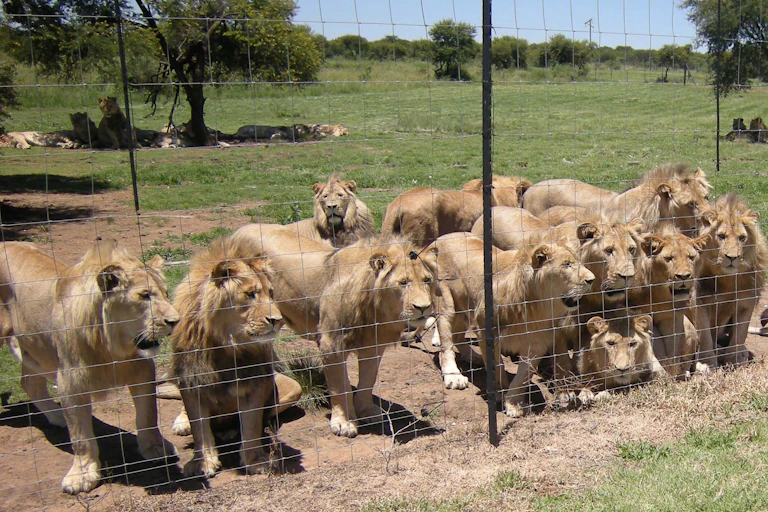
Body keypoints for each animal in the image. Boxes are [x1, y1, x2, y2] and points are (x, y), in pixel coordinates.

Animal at [0, 240, 179, 494]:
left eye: (165, 293)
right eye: (145, 296)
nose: (175, 321)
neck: (111, 347)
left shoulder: (142, 370)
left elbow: (147, 416)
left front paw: (155, 449)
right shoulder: (70, 382)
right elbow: (81, 436)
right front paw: (82, 475)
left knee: (29, 382)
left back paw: (57, 416)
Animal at [168, 238, 301, 478]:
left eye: (271, 293)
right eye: (250, 294)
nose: (278, 320)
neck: (227, 345)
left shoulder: (255, 380)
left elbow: (251, 424)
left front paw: (255, 461)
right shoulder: (191, 378)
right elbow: (199, 426)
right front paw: (202, 463)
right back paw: (183, 423)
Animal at [231, 224, 439, 437]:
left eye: (427, 280)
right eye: (403, 282)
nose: (424, 307)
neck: (375, 308)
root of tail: (242, 229)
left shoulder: (374, 343)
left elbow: (368, 379)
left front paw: (366, 410)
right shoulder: (332, 343)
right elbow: (340, 385)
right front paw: (344, 422)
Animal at [429, 232, 594, 416]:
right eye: (566, 265)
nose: (592, 280)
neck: (535, 306)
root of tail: (441, 237)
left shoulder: (537, 344)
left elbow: (522, 377)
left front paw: (514, 404)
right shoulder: (487, 332)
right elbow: (497, 367)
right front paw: (500, 393)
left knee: (457, 336)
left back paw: (474, 357)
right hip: (446, 303)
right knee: (446, 344)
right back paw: (454, 376)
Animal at [694, 193, 768, 370]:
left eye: (742, 238)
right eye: (721, 236)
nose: (732, 258)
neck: (727, 278)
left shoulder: (746, 301)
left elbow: (740, 334)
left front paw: (735, 360)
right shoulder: (700, 301)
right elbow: (705, 336)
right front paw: (707, 363)